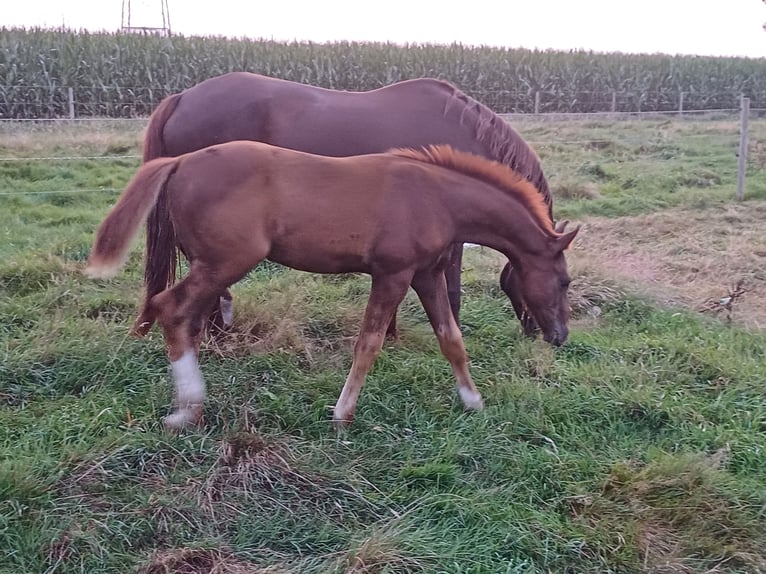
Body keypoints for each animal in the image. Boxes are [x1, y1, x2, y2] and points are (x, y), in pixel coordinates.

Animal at [87, 143, 580, 432]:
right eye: (564, 280)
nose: (559, 336)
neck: (436, 197)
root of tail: (181, 161)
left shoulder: (426, 274)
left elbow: (451, 338)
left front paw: (473, 401)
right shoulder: (393, 273)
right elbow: (369, 343)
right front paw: (342, 413)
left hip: (212, 265)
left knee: (181, 313)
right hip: (225, 262)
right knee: (171, 308)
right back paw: (187, 408)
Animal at [141, 74, 556, 340]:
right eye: (558, 282)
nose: (540, 333)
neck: (463, 132)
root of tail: (182, 98)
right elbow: (451, 287)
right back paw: (212, 329)